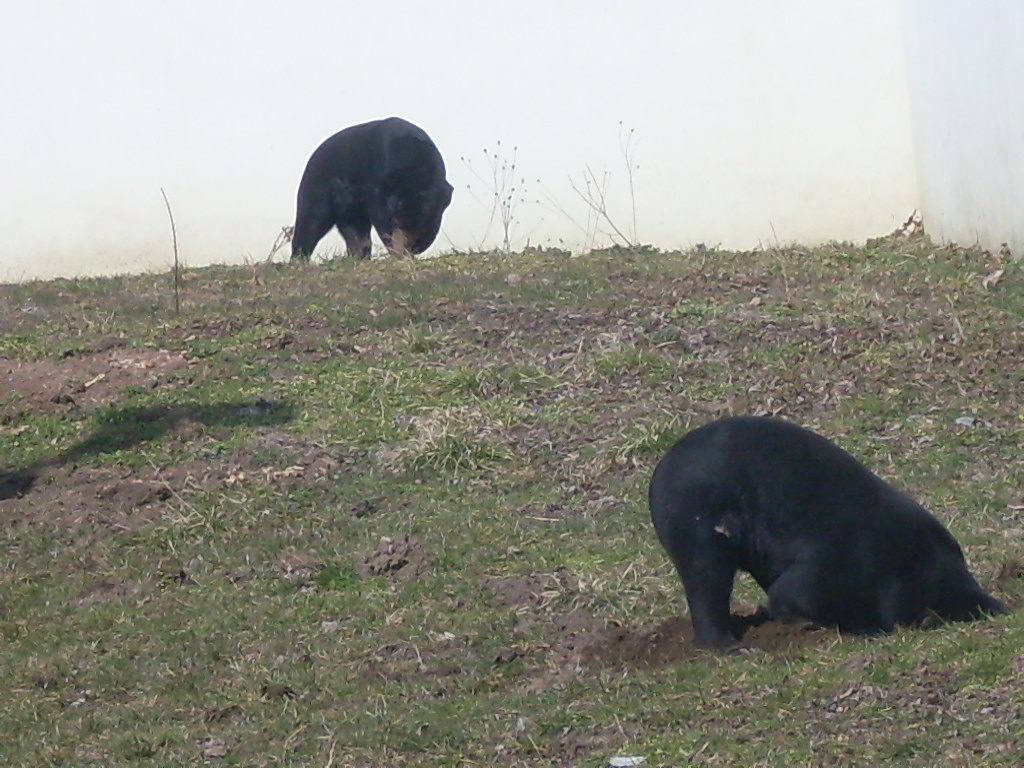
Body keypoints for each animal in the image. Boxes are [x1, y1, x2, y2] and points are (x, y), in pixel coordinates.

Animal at [291, 117, 453, 261]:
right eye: (396, 214)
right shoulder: (376, 187)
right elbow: (381, 217)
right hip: (317, 189)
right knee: (310, 224)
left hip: (351, 210)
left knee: (355, 230)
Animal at [648, 416, 1007, 651]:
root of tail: (659, 474)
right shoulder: (840, 563)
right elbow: (794, 593)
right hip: (698, 521)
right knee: (707, 579)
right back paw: (734, 647)